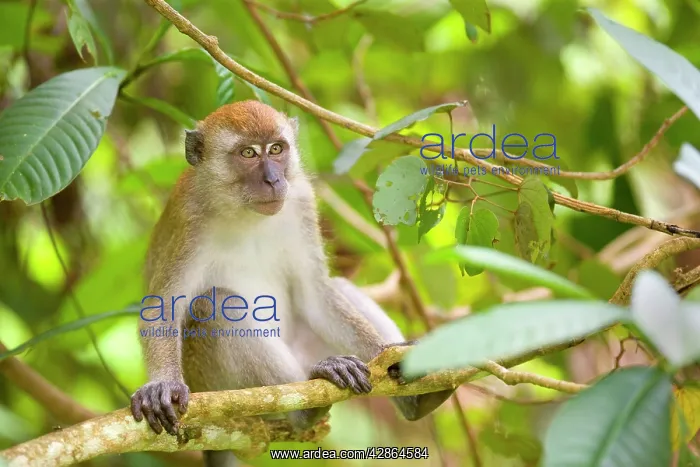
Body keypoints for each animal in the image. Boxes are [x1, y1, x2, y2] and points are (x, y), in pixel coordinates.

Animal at [130, 100, 454, 467]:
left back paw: (416, 399)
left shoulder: (301, 200)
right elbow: (164, 306)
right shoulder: (190, 221)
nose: (273, 179)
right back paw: (306, 409)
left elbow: (314, 292)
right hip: (214, 388)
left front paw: (393, 359)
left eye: (276, 149)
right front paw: (161, 386)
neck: (242, 209)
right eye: (248, 153)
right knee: (214, 305)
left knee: (337, 288)